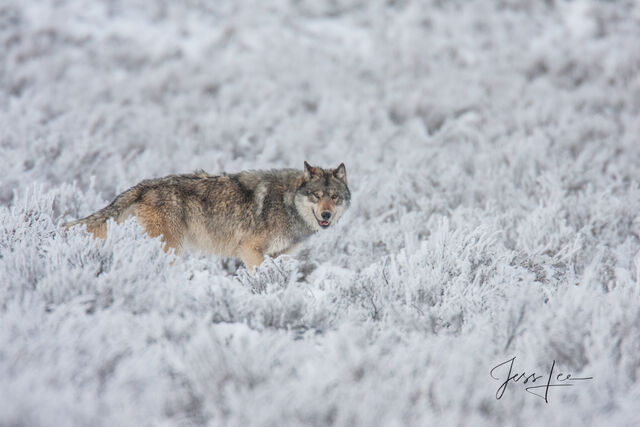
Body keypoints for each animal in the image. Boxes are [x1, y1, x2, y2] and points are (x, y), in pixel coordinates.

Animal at [64, 162, 352, 270]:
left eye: (334, 196)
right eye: (317, 195)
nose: (326, 214)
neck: (287, 203)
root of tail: (145, 184)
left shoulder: (279, 255)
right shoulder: (249, 250)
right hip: (172, 248)